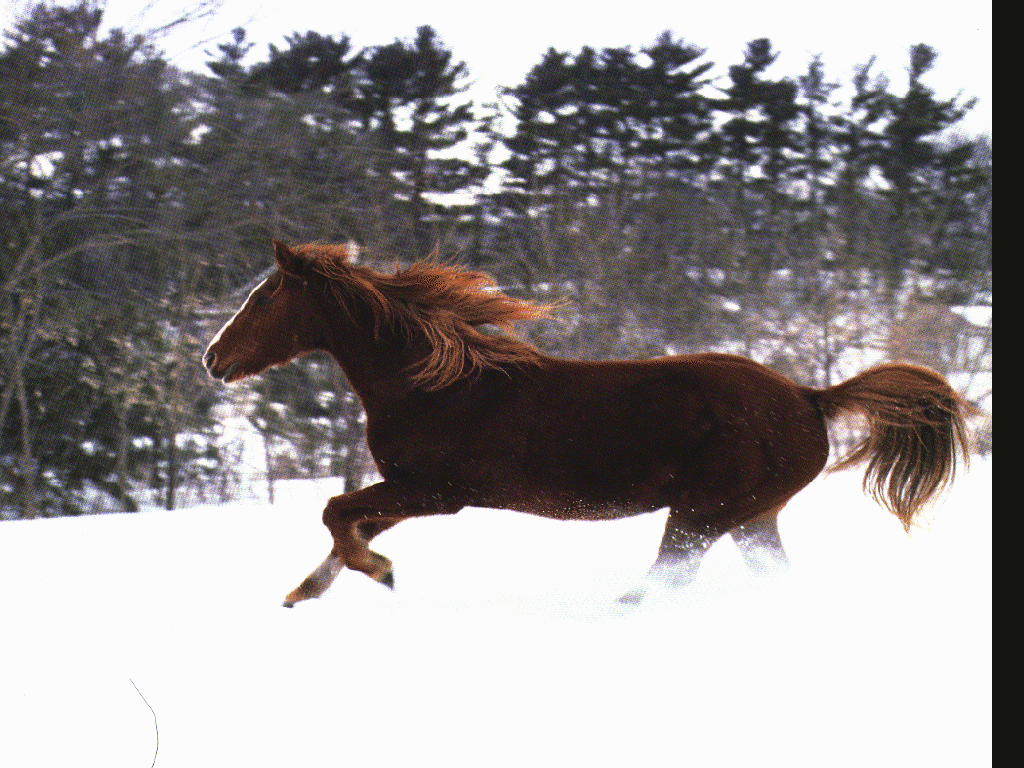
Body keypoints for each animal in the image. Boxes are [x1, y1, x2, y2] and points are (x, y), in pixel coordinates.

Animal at [204, 240, 973, 607]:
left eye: (265, 296)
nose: (214, 358)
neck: (430, 384)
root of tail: (811, 397)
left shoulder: (437, 492)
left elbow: (338, 512)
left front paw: (383, 575)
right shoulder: (411, 491)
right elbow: (348, 523)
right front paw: (306, 591)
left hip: (703, 511)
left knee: (667, 577)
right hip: (752, 516)